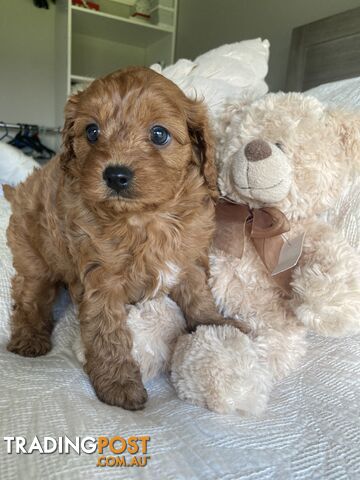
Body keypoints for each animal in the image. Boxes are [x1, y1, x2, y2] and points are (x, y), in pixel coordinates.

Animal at [4, 66, 242, 408]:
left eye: (159, 134)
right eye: (92, 131)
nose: (116, 175)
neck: (144, 218)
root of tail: (21, 189)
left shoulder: (187, 260)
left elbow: (199, 297)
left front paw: (216, 325)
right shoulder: (100, 281)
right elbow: (107, 332)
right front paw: (118, 382)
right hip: (32, 253)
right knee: (29, 296)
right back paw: (29, 338)